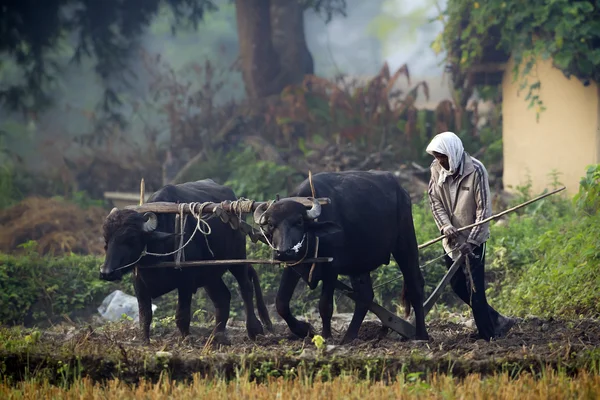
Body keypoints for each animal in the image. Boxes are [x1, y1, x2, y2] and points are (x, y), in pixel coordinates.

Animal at [100, 180, 272, 342]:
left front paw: (186, 339)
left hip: (237, 257)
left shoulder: (186, 282)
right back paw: (217, 336)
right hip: (210, 274)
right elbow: (145, 315)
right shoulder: (139, 283)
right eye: (106, 241)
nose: (106, 272)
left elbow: (181, 315)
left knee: (245, 288)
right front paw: (144, 340)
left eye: (131, 239)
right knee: (222, 298)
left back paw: (254, 330)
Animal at [251, 170, 428, 344]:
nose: (283, 252)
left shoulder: (332, 268)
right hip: (359, 262)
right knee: (365, 295)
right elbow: (281, 303)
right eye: (271, 224)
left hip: (406, 244)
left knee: (415, 286)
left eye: (299, 221)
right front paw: (304, 329)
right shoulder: (293, 266)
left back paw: (421, 335)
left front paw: (326, 336)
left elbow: (325, 305)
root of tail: (402, 190)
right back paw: (349, 337)